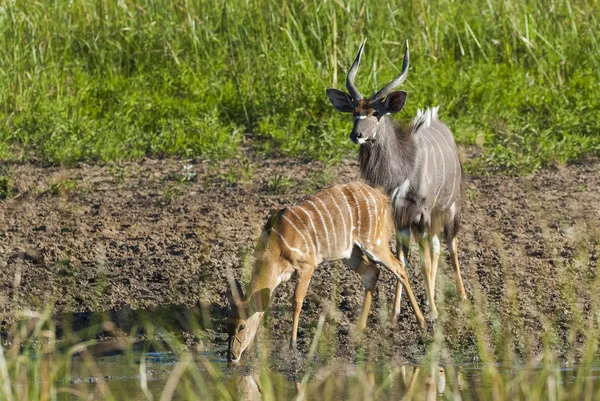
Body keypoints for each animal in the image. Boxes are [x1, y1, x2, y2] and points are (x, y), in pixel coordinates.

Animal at [226, 180, 426, 360]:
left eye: (241, 326)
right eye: (227, 324)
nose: (231, 356)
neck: (276, 242)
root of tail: (381, 197)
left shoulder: (307, 265)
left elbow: (297, 301)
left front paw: (292, 344)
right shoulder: (279, 277)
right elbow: (265, 307)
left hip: (374, 242)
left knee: (398, 266)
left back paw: (422, 322)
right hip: (350, 252)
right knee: (372, 272)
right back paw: (359, 328)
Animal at [326, 40, 466, 320]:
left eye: (376, 112)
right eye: (354, 111)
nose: (357, 135)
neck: (402, 170)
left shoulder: (421, 213)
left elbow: (423, 261)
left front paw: (432, 313)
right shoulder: (399, 217)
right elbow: (402, 260)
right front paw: (395, 312)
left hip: (449, 207)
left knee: (450, 243)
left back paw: (463, 296)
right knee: (436, 246)